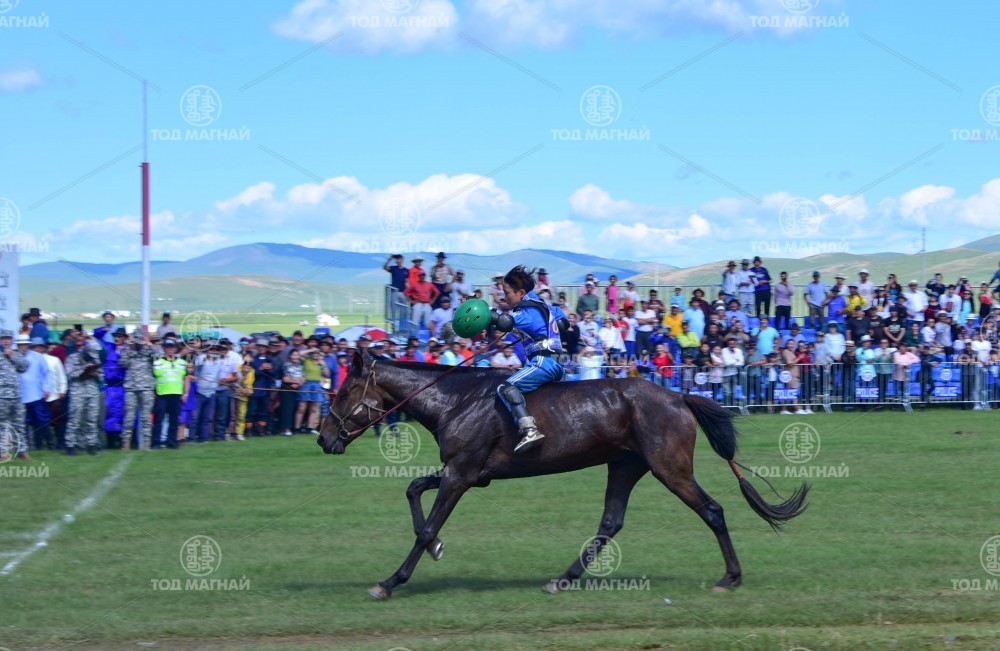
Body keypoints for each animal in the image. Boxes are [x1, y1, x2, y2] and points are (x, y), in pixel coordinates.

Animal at [319, 349, 809, 600]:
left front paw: (390, 581)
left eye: (341, 392)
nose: (323, 438)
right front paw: (436, 547)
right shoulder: (468, 473)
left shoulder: (461, 474)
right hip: (625, 466)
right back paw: (563, 578)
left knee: (712, 510)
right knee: (611, 521)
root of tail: (679, 396)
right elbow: (413, 490)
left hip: (669, 468)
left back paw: (730, 576)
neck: (453, 400)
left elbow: (424, 526)